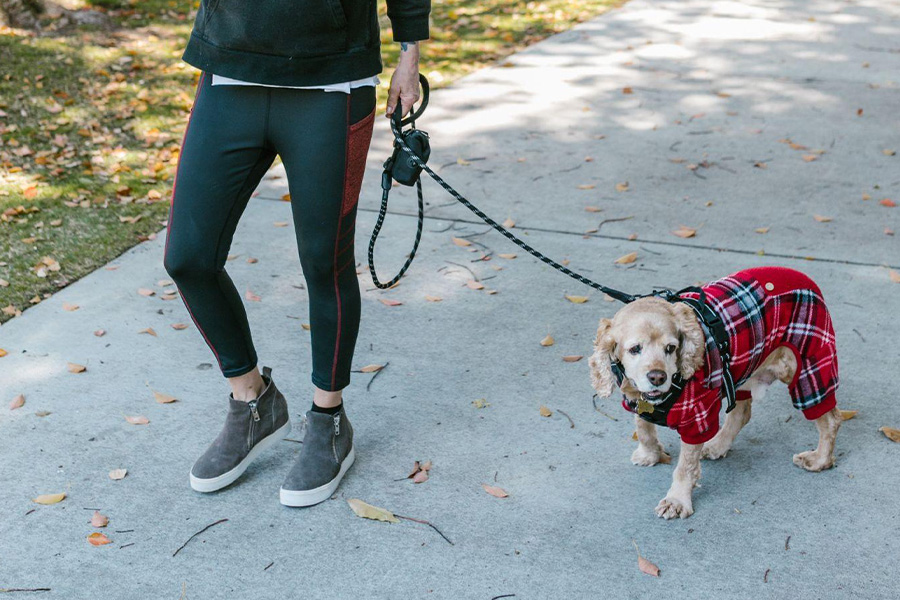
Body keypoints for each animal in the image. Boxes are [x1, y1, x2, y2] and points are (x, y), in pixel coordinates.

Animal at [592, 264, 844, 516]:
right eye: (635, 349)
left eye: (671, 348)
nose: (657, 377)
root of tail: (804, 278)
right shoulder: (638, 400)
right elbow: (643, 427)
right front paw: (649, 454)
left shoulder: (697, 418)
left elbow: (685, 466)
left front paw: (677, 500)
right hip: (742, 370)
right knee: (742, 413)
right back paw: (717, 445)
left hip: (809, 366)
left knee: (831, 418)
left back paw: (820, 459)